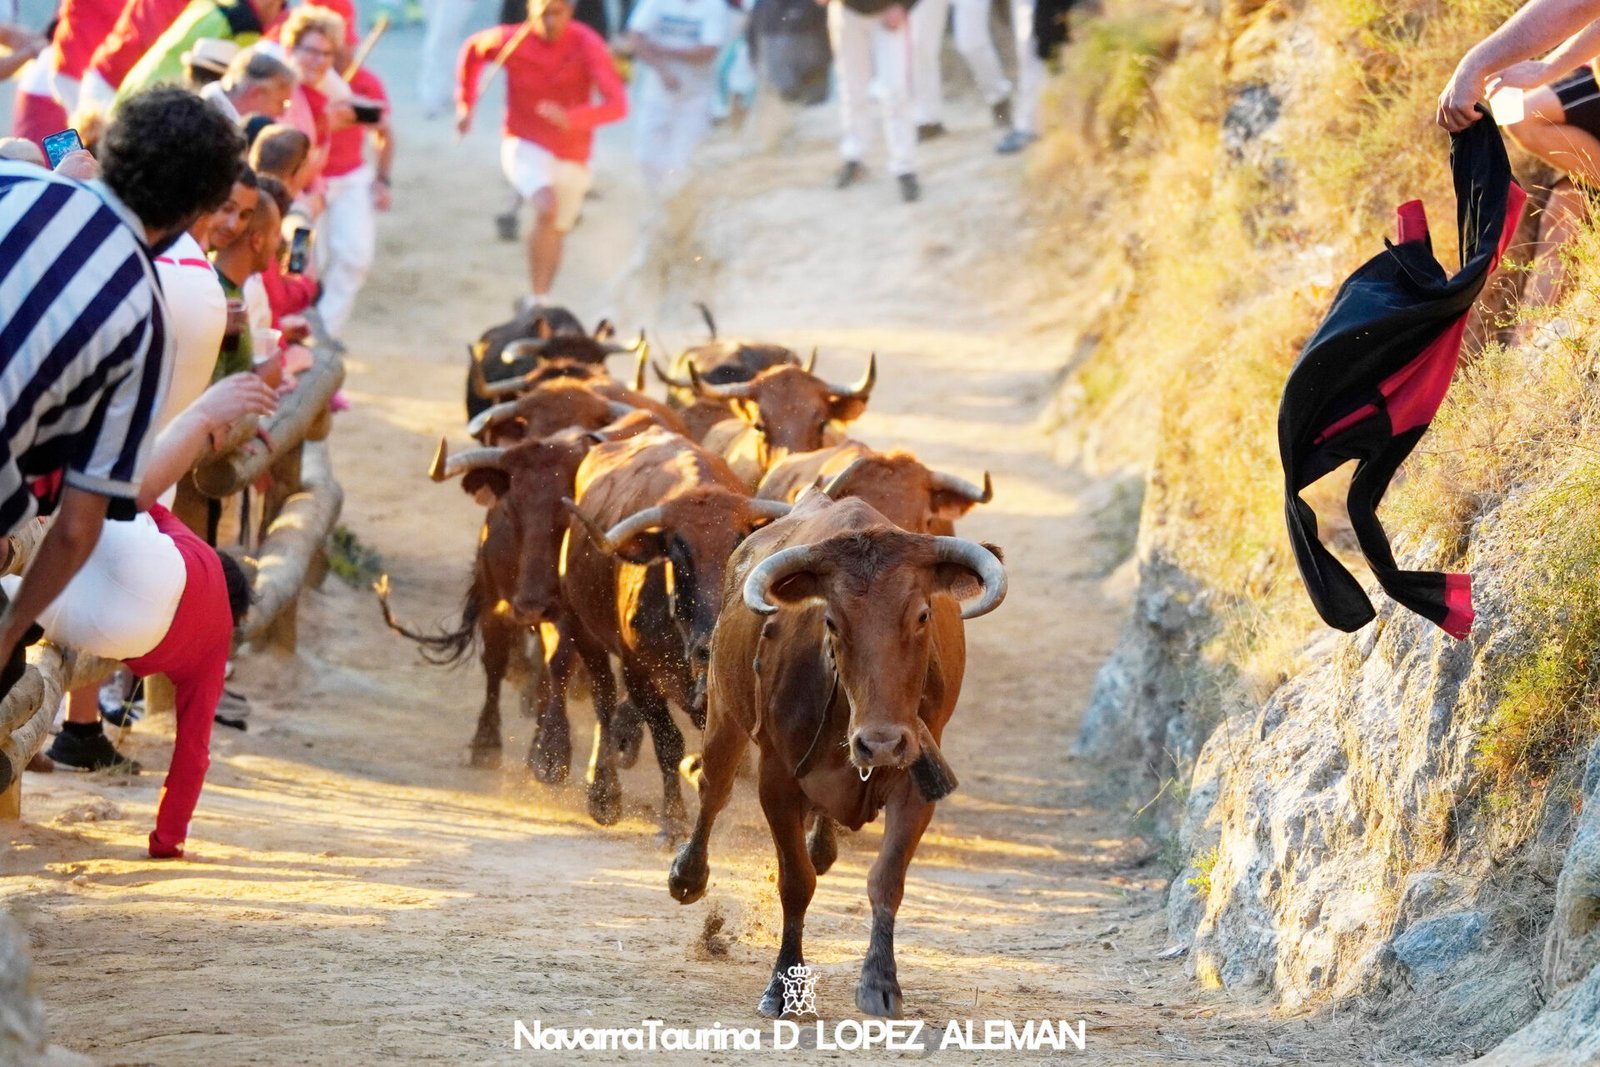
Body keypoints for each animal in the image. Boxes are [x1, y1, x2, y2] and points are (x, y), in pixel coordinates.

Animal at [560, 428, 790, 831]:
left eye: (739, 548)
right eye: (679, 556)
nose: (706, 644)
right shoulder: (638, 673)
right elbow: (669, 742)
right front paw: (673, 818)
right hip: (583, 630)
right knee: (604, 701)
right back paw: (604, 792)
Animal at [662, 492, 998, 1017]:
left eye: (922, 615)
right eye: (833, 621)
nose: (880, 743)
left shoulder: (918, 779)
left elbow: (887, 880)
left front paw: (880, 982)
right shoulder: (776, 779)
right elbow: (795, 882)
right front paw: (784, 986)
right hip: (723, 713)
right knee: (713, 790)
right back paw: (687, 874)